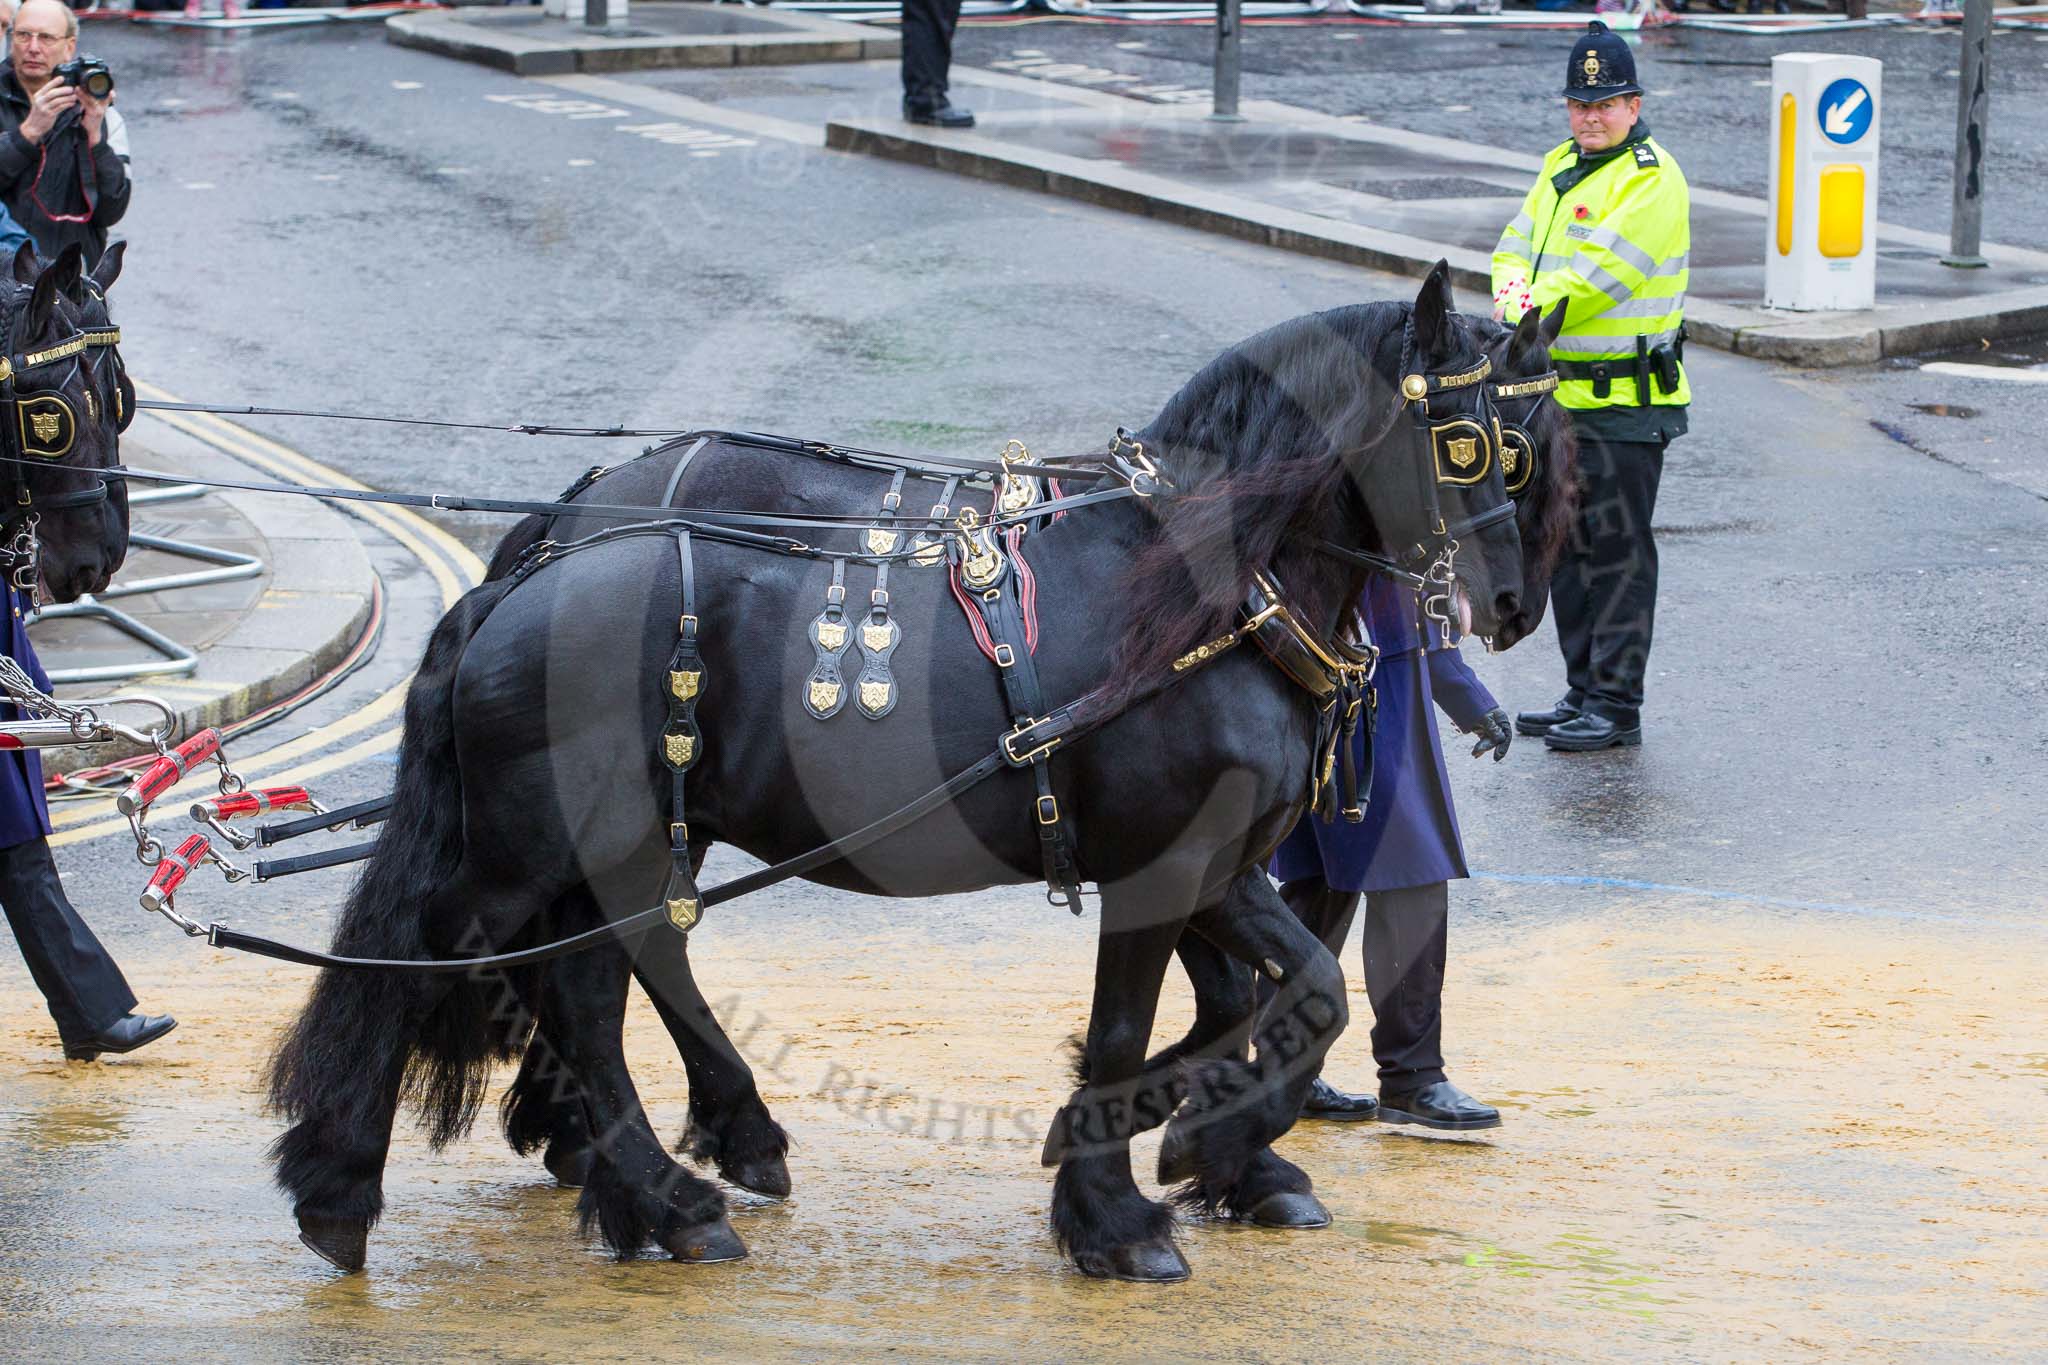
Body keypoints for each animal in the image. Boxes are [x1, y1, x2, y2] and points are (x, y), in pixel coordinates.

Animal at [268, 263, 1523, 1285]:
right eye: (1461, 440)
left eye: (1517, 438)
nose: (1507, 605)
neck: (1197, 595)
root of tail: (520, 577)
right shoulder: (1160, 870)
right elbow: (1147, 1023)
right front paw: (1120, 1205)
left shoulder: (1217, 865)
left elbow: (1289, 996)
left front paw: (1202, 1142)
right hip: (527, 852)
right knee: (433, 953)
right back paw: (348, 1181)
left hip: (617, 840)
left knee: (593, 984)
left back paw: (661, 1195)